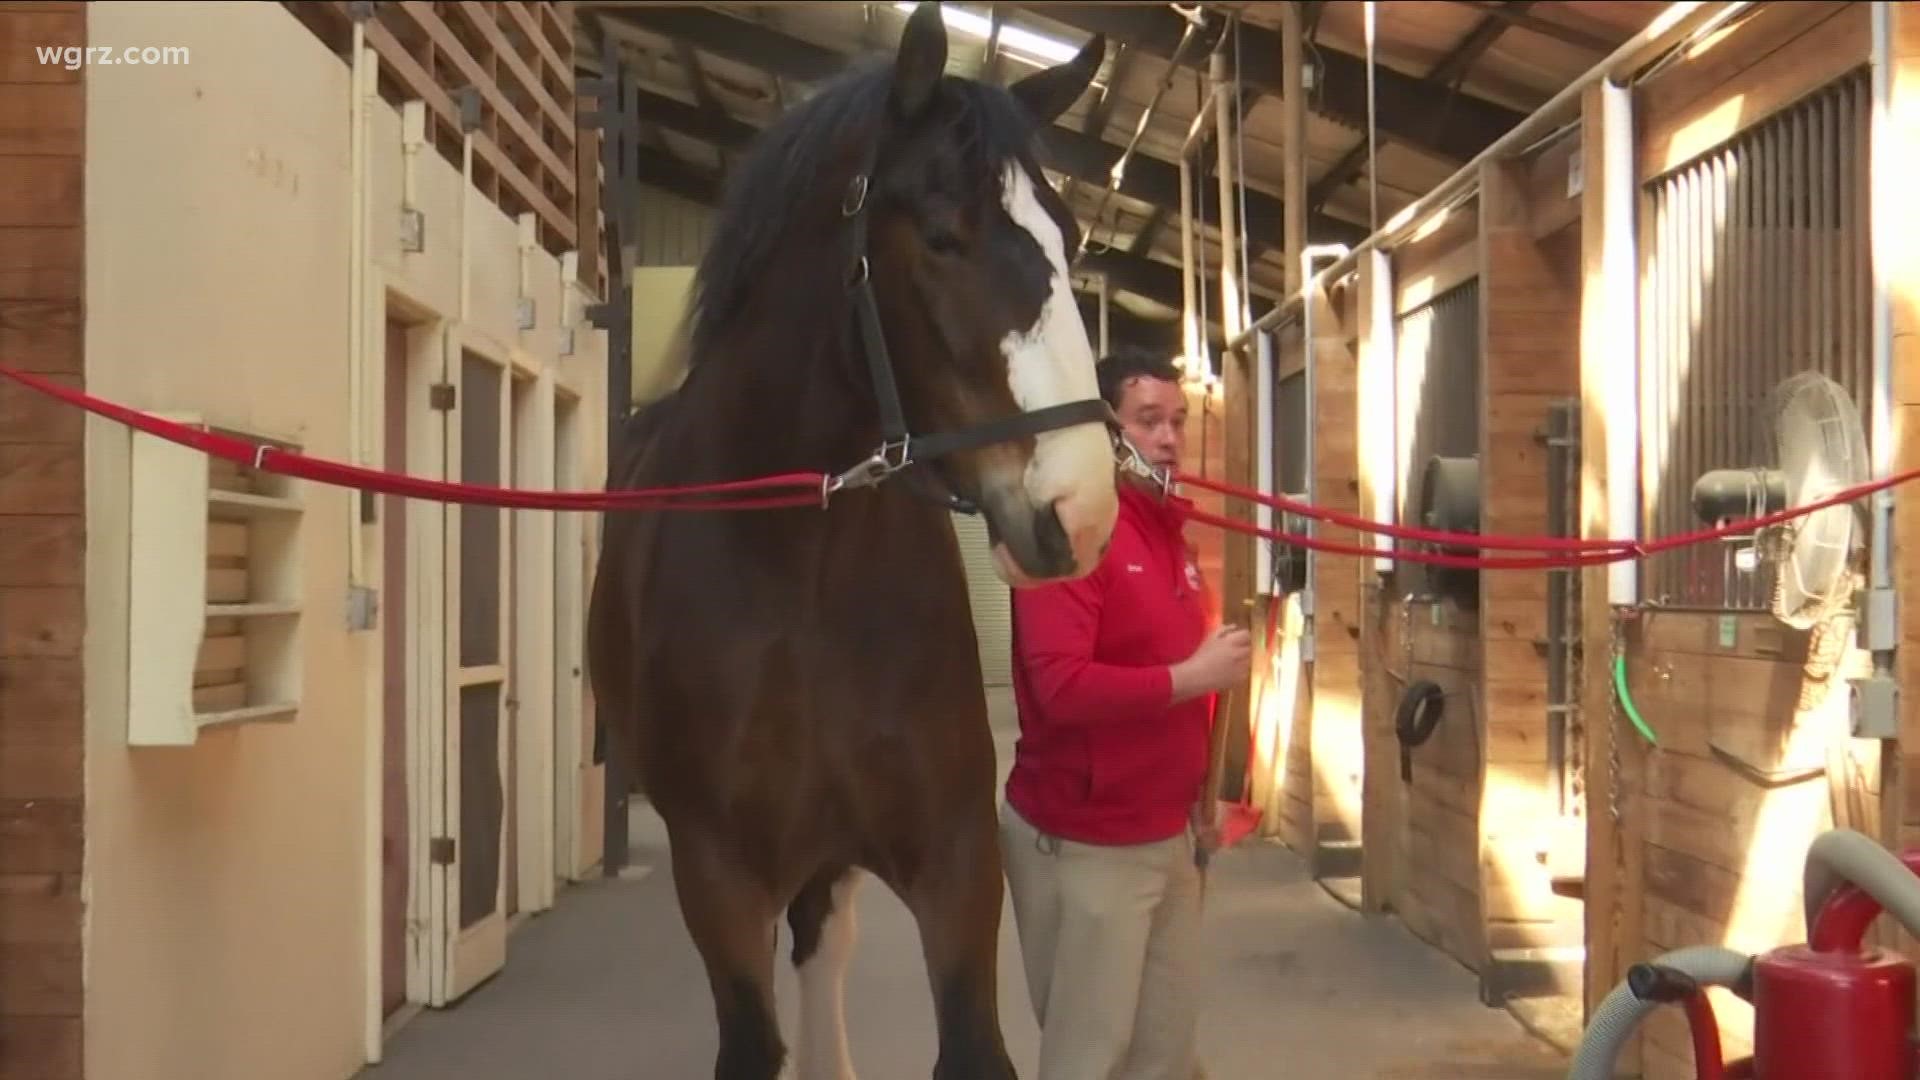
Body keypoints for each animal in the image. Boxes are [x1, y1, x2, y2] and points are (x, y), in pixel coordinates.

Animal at [585, 5, 1118, 1078]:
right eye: (945, 239)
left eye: (1070, 235)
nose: (1079, 508)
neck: (803, 583)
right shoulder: (718, 882)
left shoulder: (956, 865)